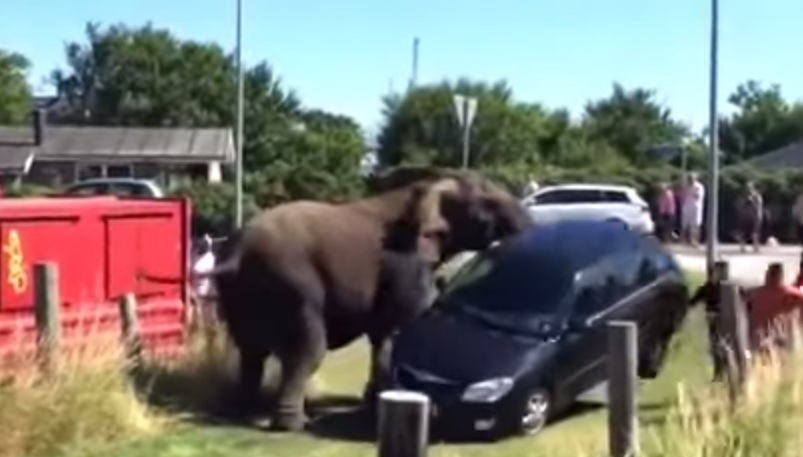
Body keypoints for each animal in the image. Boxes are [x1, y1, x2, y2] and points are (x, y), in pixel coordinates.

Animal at [209, 167, 534, 431]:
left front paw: (374, 400)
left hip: (239, 294)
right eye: (488, 203)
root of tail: (237, 251)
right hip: (292, 285)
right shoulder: (405, 260)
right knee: (307, 350)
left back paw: (245, 413)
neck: (428, 185)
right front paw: (377, 403)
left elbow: (384, 333)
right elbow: (402, 323)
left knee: (251, 352)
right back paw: (293, 425)